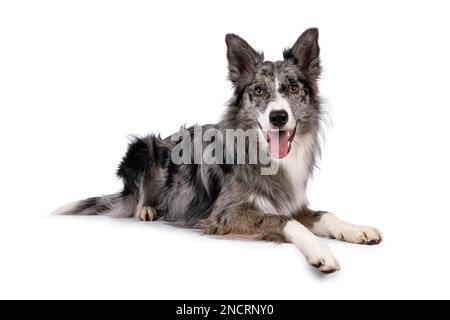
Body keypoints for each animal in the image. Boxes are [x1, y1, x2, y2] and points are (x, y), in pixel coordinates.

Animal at [54, 28, 382, 272]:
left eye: (292, 88)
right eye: (258, 91)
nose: (278, 117)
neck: (267, 157)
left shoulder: (290, 202)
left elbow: (324, 214)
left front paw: (356, 229)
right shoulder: (224, 215)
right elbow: (283, 222)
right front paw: (320, 251)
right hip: (142, 147)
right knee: (136, 197)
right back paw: (149, 208)